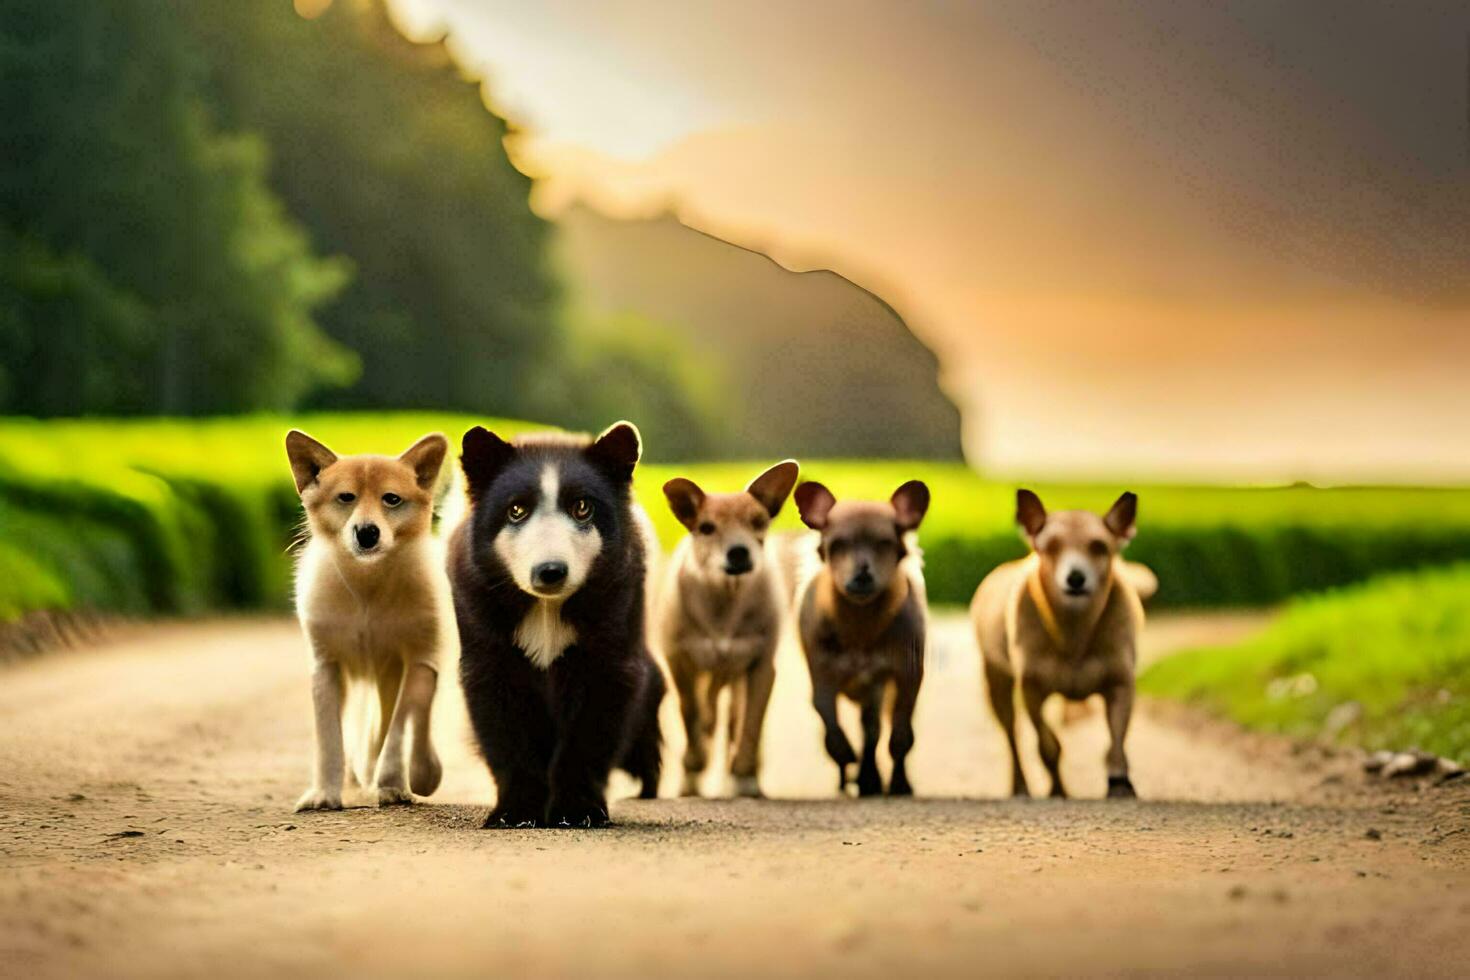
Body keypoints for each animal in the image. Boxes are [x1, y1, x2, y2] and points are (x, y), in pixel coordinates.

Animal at [283, 431, 449, 811]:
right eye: (346, 497)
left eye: (392, 499)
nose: (367, 532)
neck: (367, 591)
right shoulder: (326, 665)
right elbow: (329, 736)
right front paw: (324, 793)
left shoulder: (417, 661)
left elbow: (398, 728)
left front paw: (391, 783)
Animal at [446, 423, 667, 828]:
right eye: (516, 510)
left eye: (582, 507)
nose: (550, 571)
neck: (547, 608)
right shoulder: (482, 631)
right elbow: (504, 725)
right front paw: (515, 812)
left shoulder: (614, 628)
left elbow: (591, 730)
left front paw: (578, 811)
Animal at [655, 461, 799, 799]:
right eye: (707, 528)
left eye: (758, 522)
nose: (739, 552)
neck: (725, 599)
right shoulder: (679, 661)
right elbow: (692, 715)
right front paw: (694, 766)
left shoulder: (761, 666)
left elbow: (749, 727)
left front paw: (744, 776)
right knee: (705, 718)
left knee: (734, 722)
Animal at [793, 481, 929, 799]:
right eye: (837, 545)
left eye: (884, 543)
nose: (862, 572)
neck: (861, 627)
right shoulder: (821, 672)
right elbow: (829, 724)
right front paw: (846, 757)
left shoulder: (907, 675)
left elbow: (900, 736)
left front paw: (899, 783)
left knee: (873, 729)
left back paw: (870, 779)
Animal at [976, 487, 1146, 799]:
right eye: (1051, 547)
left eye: (1099, 546)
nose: (1076, 578)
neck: (1074, 633)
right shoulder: (1031, 688)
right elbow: (1048, 745)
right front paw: (1057, 788)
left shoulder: (1121, 682)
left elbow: (1117, 740)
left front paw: (1119, 784)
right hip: (996, 679)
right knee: (1012, 735)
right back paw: (1020, 786)